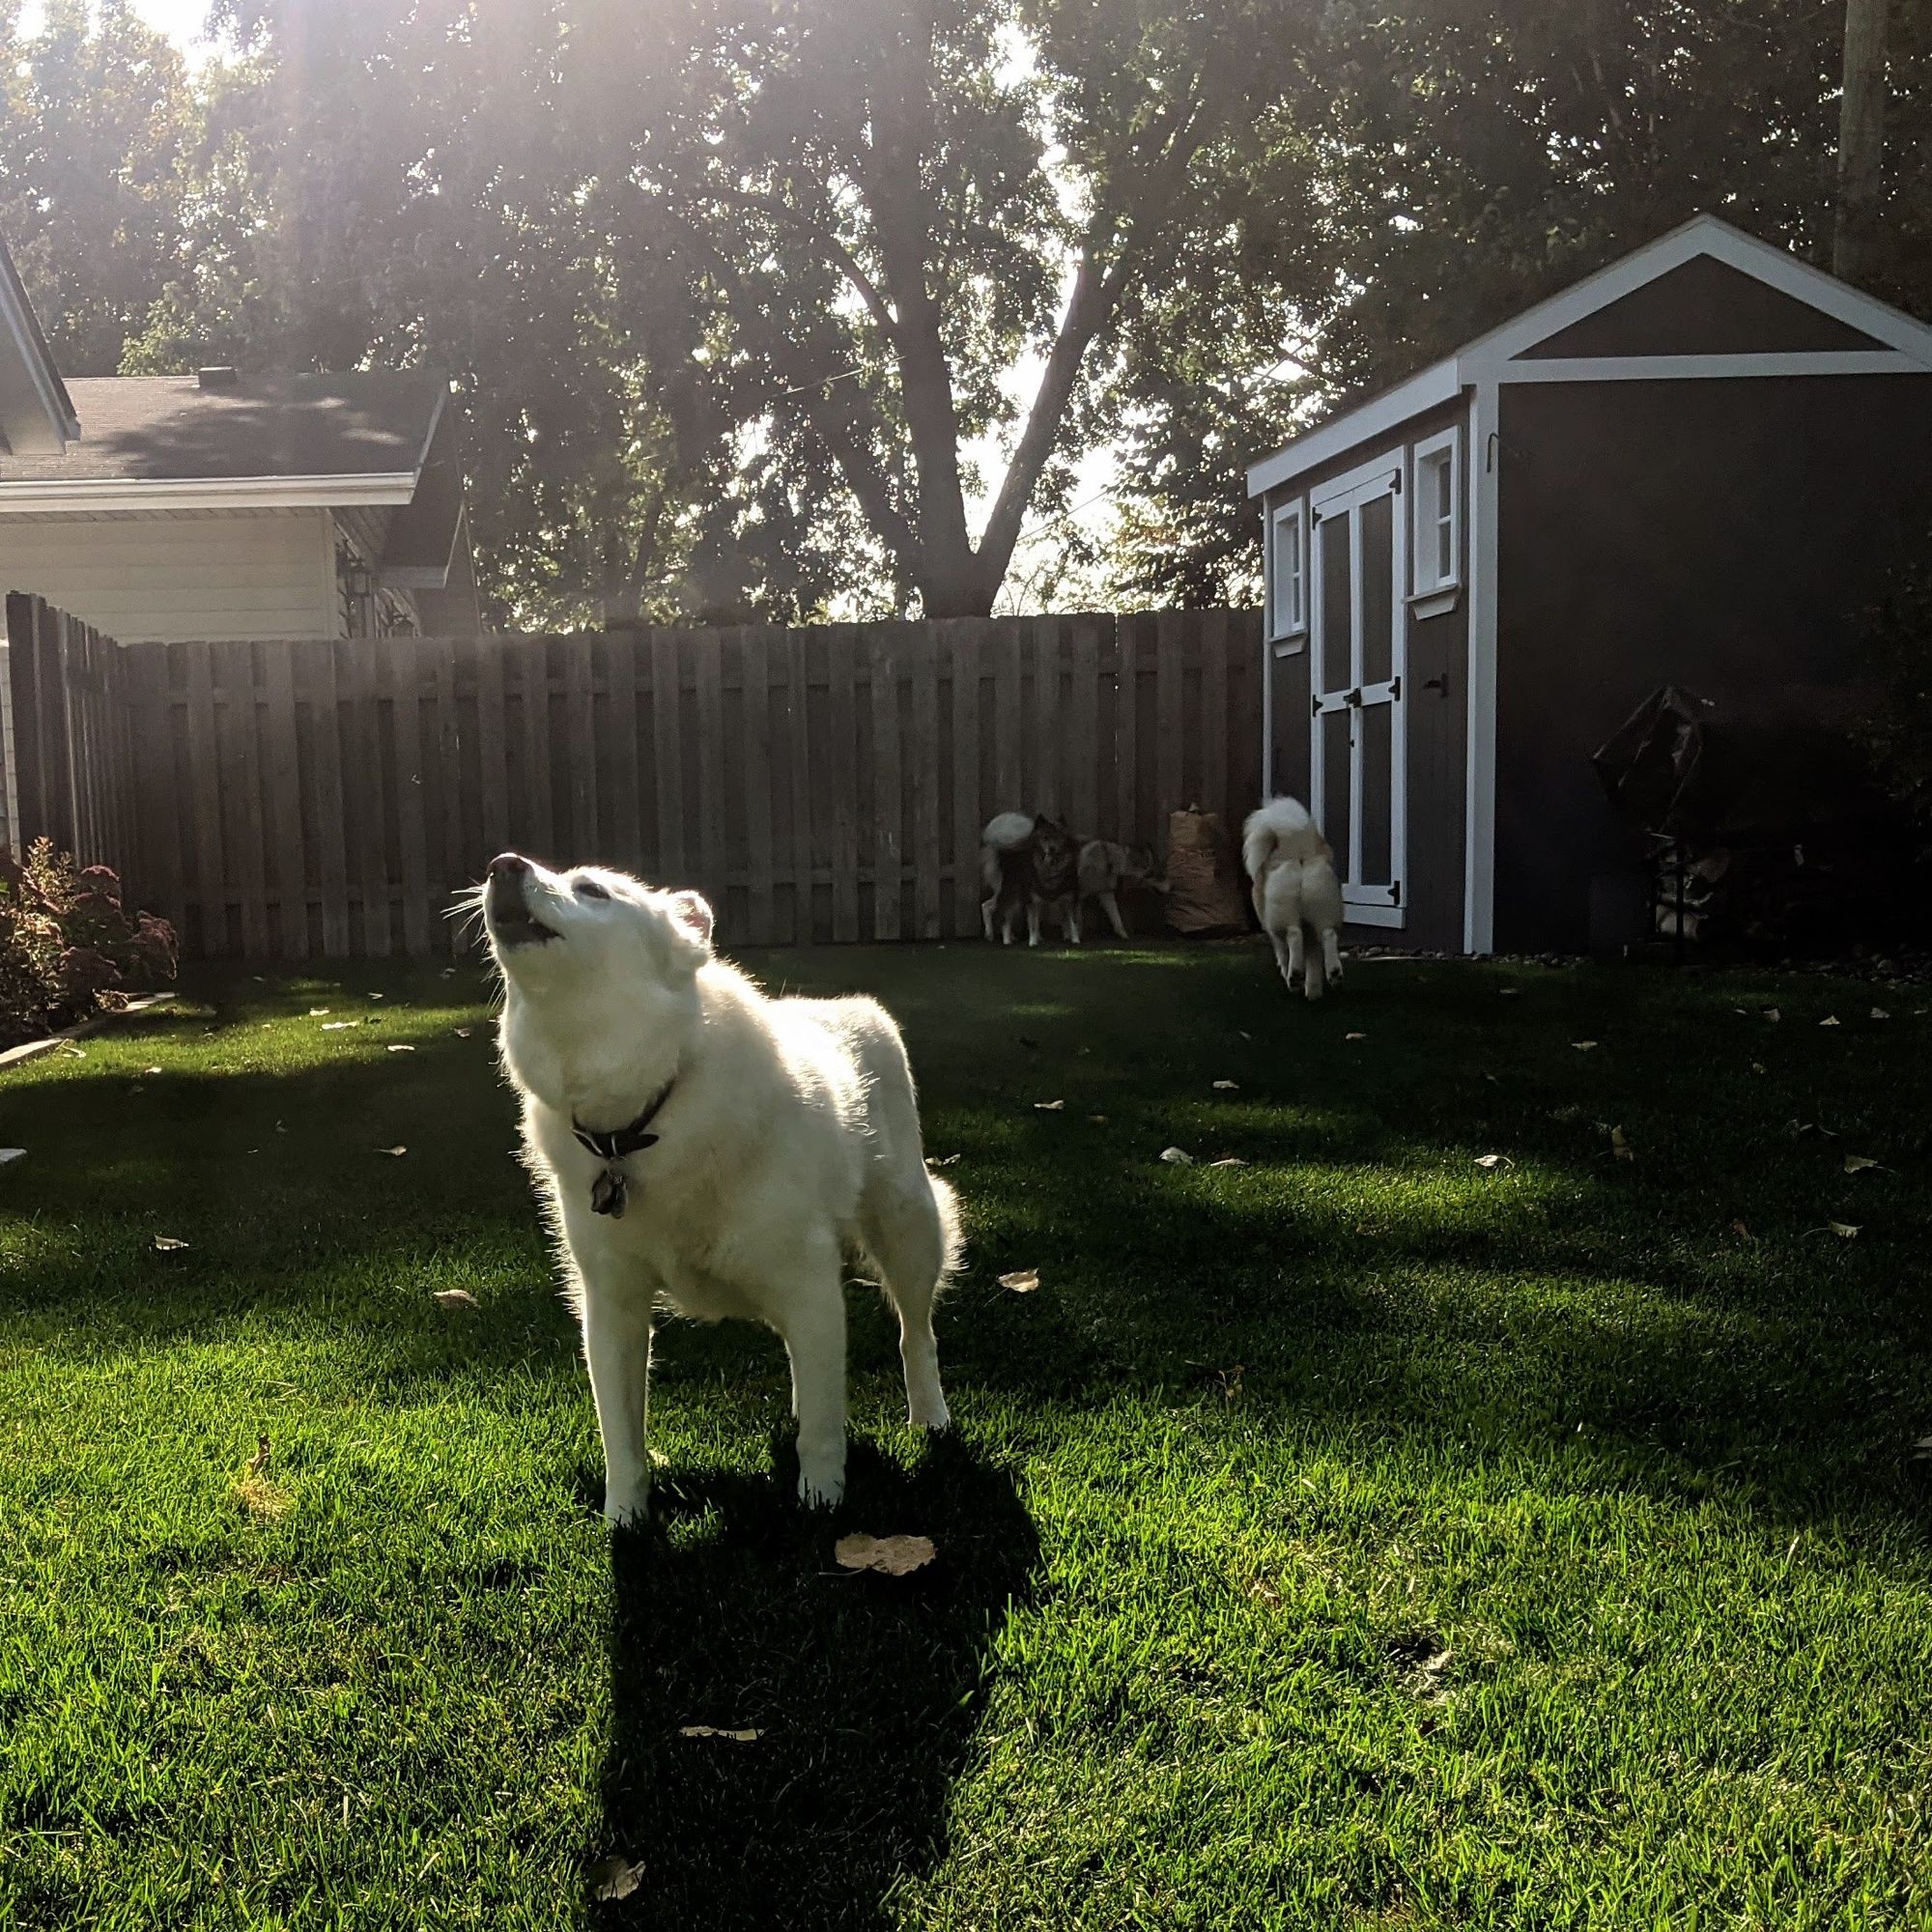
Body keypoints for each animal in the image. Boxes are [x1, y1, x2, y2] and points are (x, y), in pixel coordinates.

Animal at [483, 854, 958, 1515]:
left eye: (593, 889)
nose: (501, 866)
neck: (639, 1122)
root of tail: (853, 1007)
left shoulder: (809, 1286)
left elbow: (823, 1428)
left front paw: (822, 1500)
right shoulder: (612, 1308)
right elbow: (621, 1436)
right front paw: (625, 1517)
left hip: (907, 1230)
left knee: (916, 1333)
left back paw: (930, 1415)